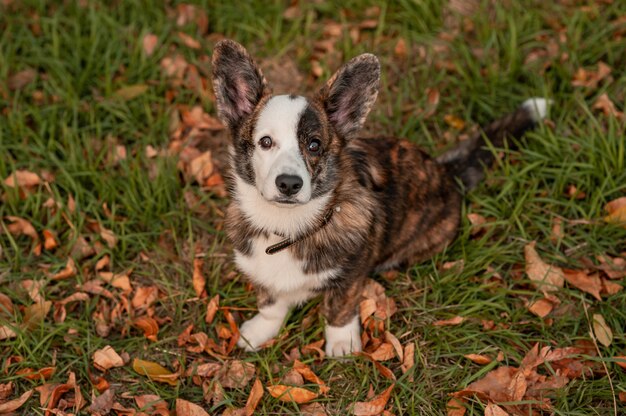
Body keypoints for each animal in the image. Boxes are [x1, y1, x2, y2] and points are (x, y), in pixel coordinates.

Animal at [210, 39, 544, 358]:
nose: (289, 184)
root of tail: (445, 172)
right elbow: (270, 304)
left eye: (314, 145)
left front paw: (342, 345)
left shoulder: (351, 275)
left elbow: (339, 309)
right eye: (265, 142)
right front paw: (260, 331)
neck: (288, 228)